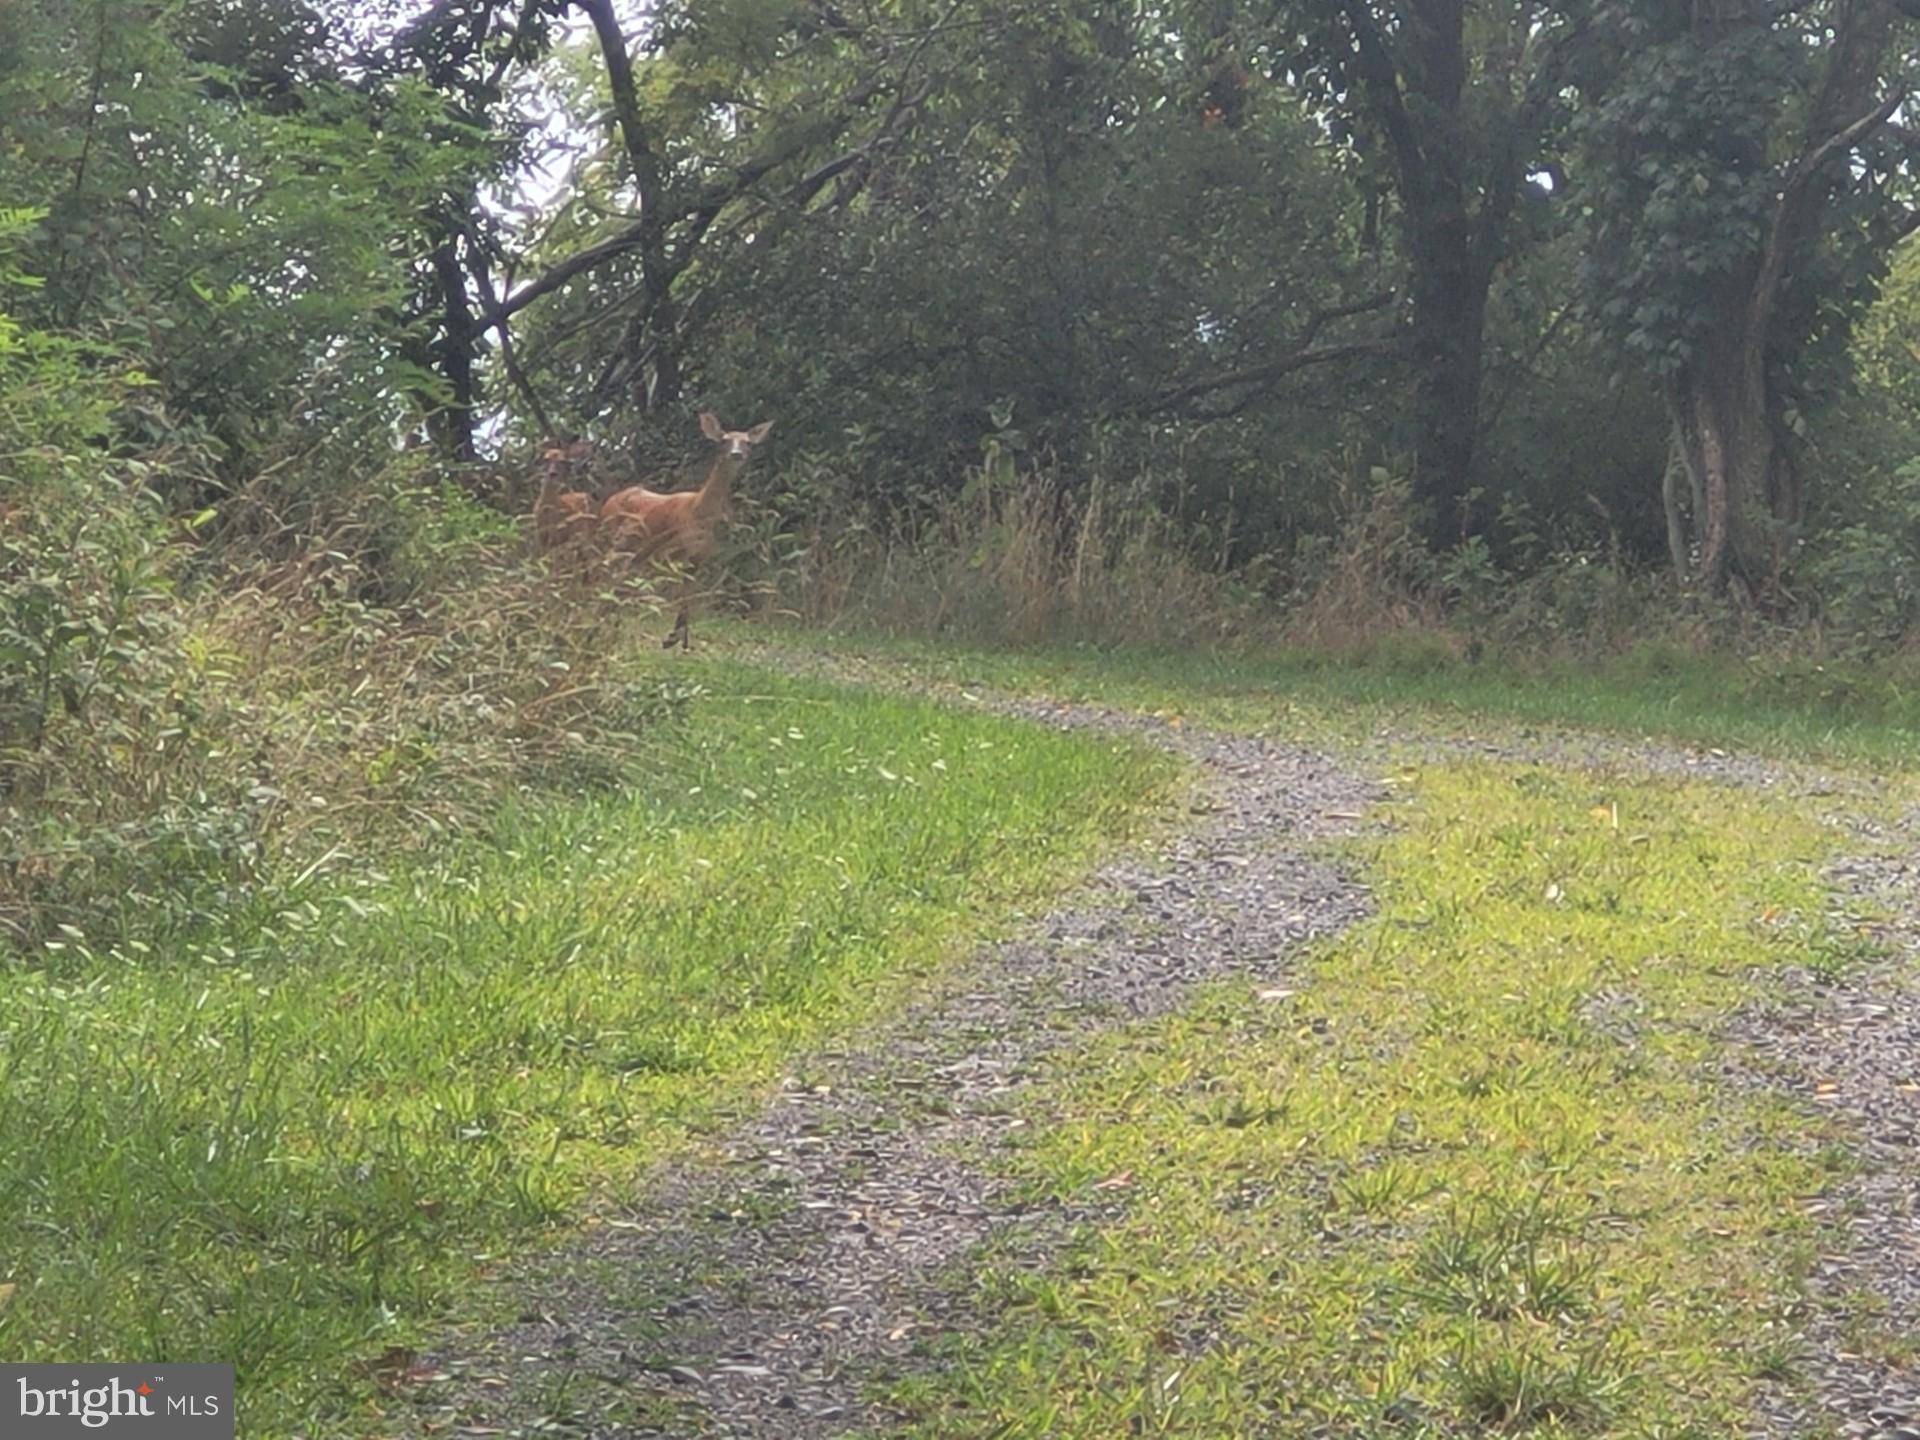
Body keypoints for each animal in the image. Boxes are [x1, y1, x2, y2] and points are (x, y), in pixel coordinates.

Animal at [602, 408, 775, 652]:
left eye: (748, 442)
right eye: (723, 440)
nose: (736, 454)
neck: (698, 510)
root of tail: (608, 501)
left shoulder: (699, 556)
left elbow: (689, 596)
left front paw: (678, 639)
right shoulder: (674, 551)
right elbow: (679, 594)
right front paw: (673, 639)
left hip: (635, 550)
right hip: (613, 538)